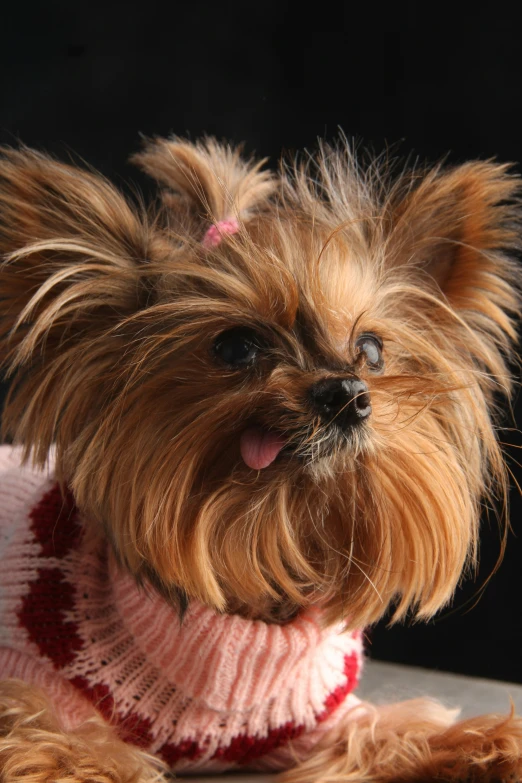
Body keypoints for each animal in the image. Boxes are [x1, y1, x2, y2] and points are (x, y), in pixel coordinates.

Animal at [0, 136, 516, 783]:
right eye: (235, 347)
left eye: (371, 349)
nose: (346, 393)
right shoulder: (32, 685)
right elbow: (58, 739)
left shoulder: (323, 717)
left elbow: (387, 732)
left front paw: (488, 742)